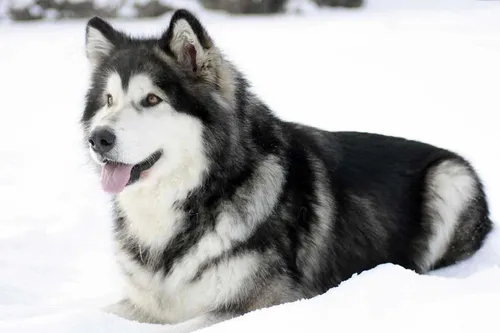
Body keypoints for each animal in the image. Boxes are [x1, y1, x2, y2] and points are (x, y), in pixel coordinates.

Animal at [80, 9, 494, 330]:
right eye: (109, 100)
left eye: (151, 99)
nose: (97, 139)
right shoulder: (148, 302)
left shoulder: (267, 300)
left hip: (450, 178)